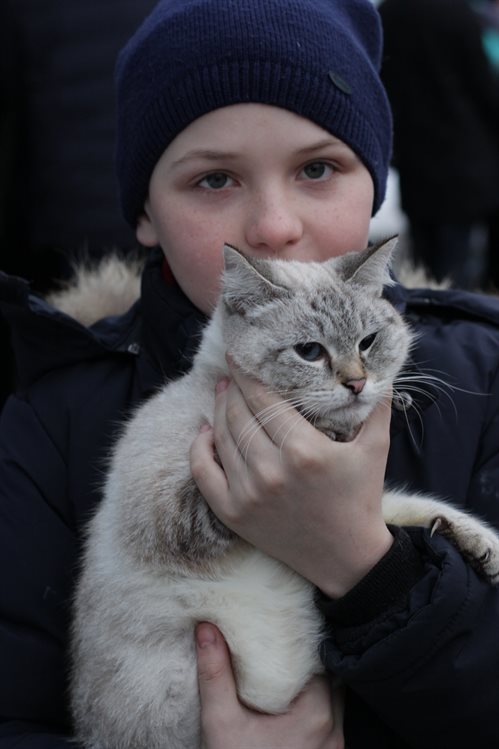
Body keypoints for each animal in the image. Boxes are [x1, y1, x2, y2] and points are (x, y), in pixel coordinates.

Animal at [69, 240, 499, 748]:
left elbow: (413, 508)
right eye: (309, 352)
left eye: (368, 342)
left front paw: (483, 545)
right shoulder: (165, 512)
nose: (357, 384)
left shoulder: (370, 508)